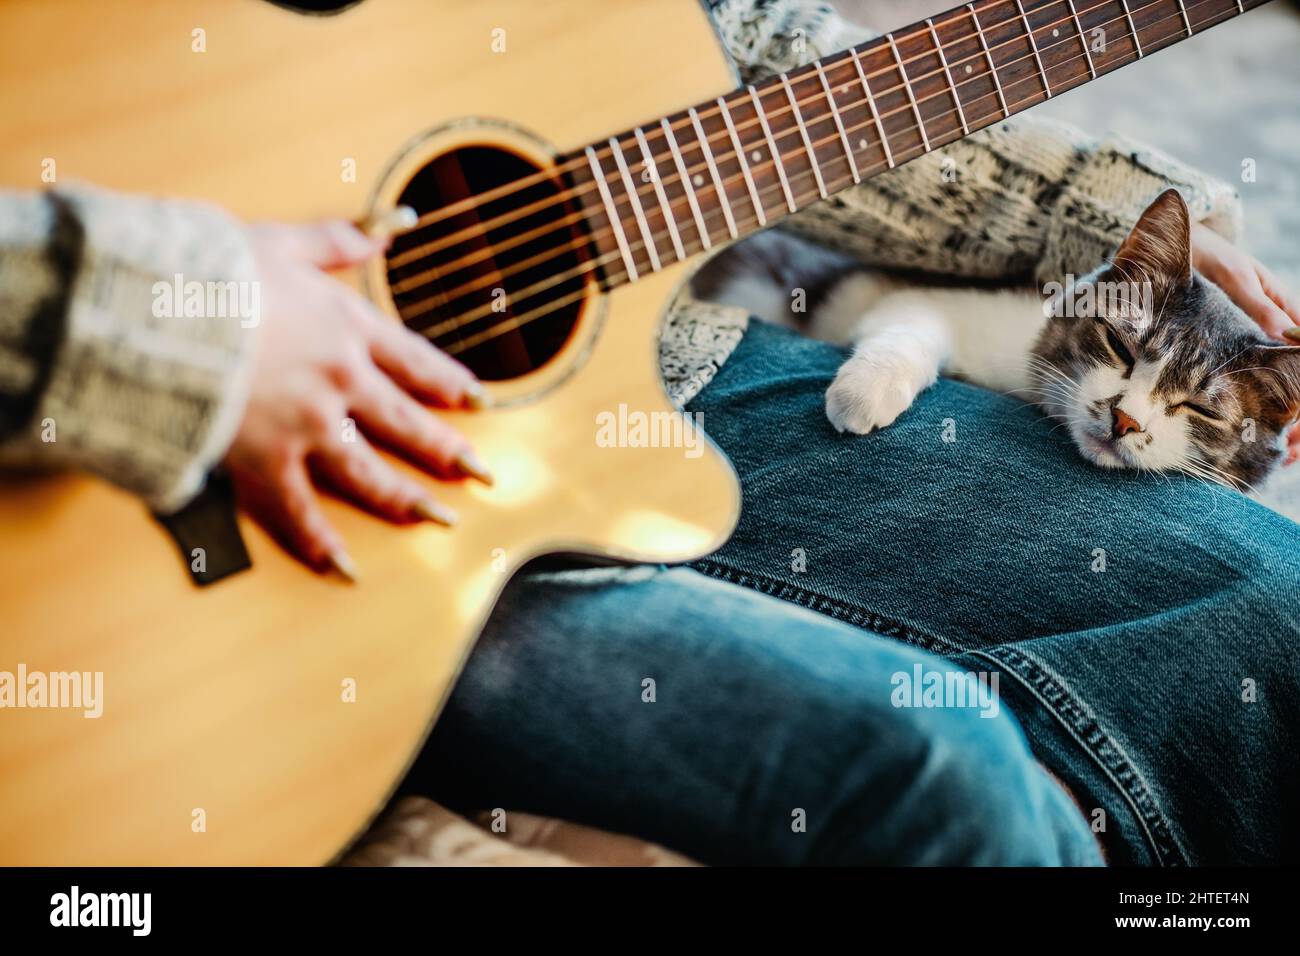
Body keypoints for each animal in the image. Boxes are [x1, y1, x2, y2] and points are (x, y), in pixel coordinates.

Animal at [696, 189, 1300, 496]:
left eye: (1201, 409)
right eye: (1119, 345)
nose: (1124, 420)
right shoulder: (911, 291)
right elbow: (913, 322)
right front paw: (867, 389)